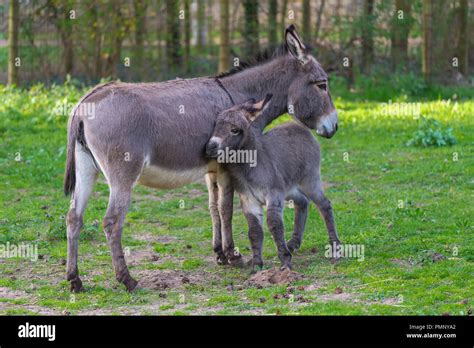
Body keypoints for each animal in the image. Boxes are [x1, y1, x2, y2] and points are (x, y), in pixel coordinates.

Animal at [205, 95, 340, 270]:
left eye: (235, 130)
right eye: (215, 125)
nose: (209, 148)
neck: (250, 167)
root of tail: (298, 127)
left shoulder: (273, 194)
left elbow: (274, 224)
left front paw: (285, 262)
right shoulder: (249, 199)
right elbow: (254, 230)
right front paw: (256, 264)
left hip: (309, 180)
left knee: (324, 205)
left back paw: (335, 248)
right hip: (289, 188)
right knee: (303, 202)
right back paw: (293, 243)